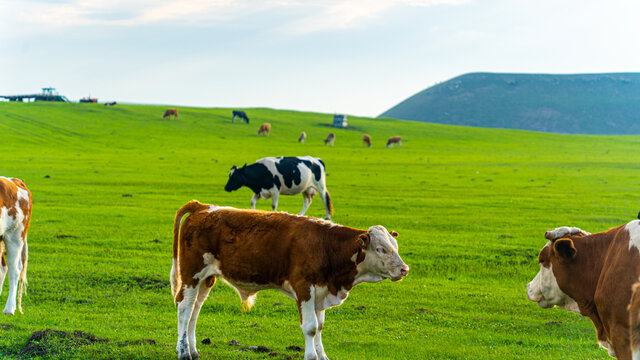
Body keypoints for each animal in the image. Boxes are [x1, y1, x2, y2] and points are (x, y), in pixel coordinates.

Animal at [171, 200, 410, 360]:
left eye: (396, 247)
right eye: (381, 249)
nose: (404, 269)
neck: (326, 246)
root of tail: (202, 206)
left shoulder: (321, 291)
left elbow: (320, 326)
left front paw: (322, 355)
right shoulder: (304, 288)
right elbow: (310, 327)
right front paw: (311, 356)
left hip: (206, 278)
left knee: (194, 310)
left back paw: (193, 349)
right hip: (192, 274)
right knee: (184, 308)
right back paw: (183, 351)